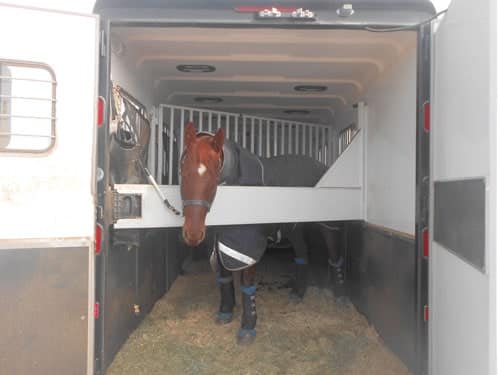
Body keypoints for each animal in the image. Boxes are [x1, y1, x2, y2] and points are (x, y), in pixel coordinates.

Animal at [180, 122, 348, 344]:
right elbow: (224, 278)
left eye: (214, 174)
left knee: (335, 257)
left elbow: (247, 284)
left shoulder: (247, 244)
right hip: (294, 228)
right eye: (182, 170)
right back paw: (297, 293)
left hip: (328, 226)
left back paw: (340, 297)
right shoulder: (220, 241)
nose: (192, 233)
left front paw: (248, 326)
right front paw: (225, 311)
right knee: (303, 255)